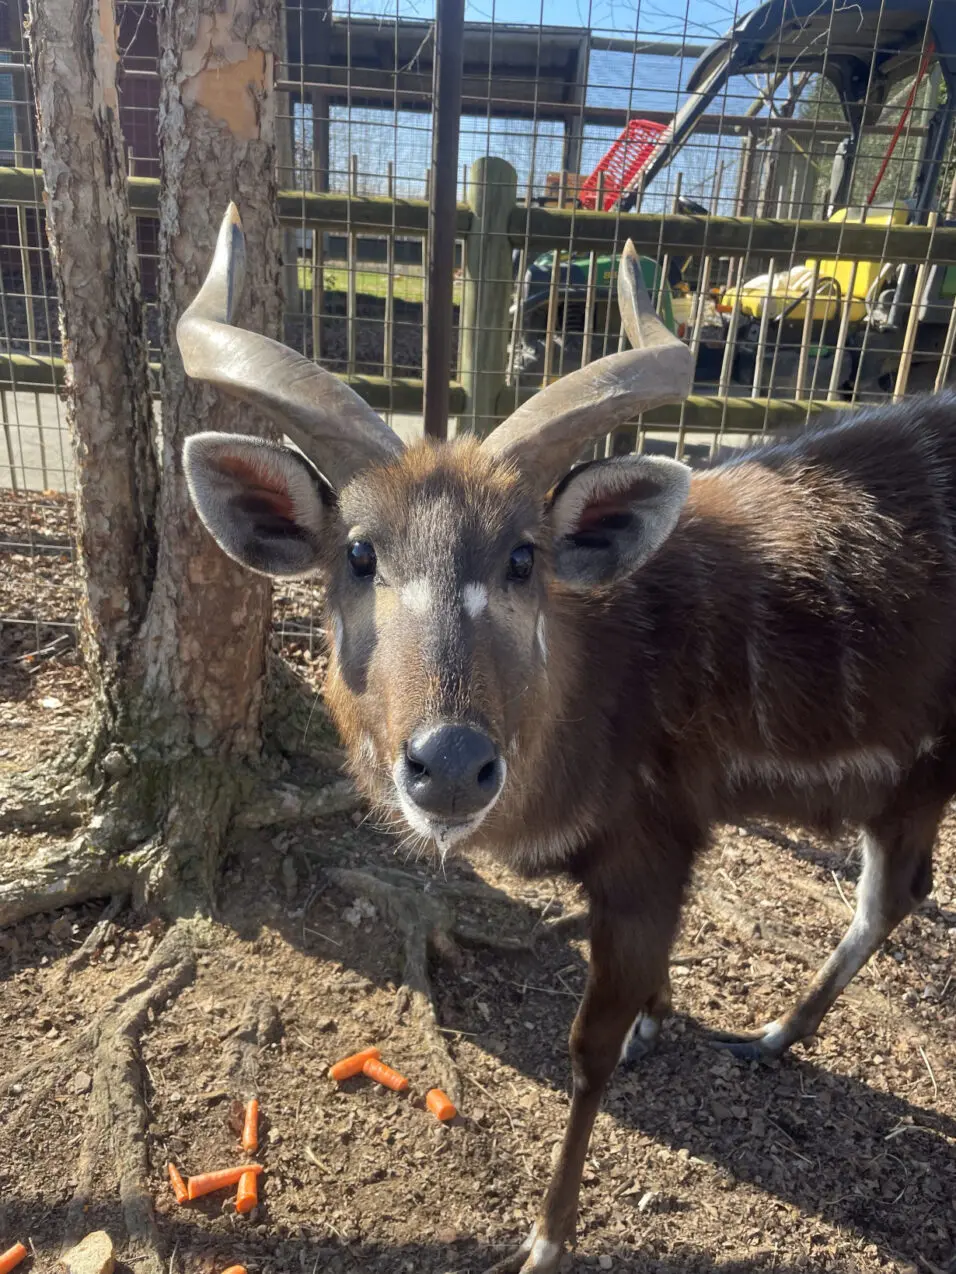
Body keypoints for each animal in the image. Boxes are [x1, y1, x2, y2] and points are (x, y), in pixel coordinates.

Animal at [178, 201, 953, 1274]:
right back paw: (773, 1034)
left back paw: (771, 1032)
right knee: (898, 893)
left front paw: (547, 1237)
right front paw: (658, 1026)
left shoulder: (647, 847)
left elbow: (587, 1049)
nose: (450, 766)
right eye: (359, 554)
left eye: (522, 557)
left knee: (896, 893)